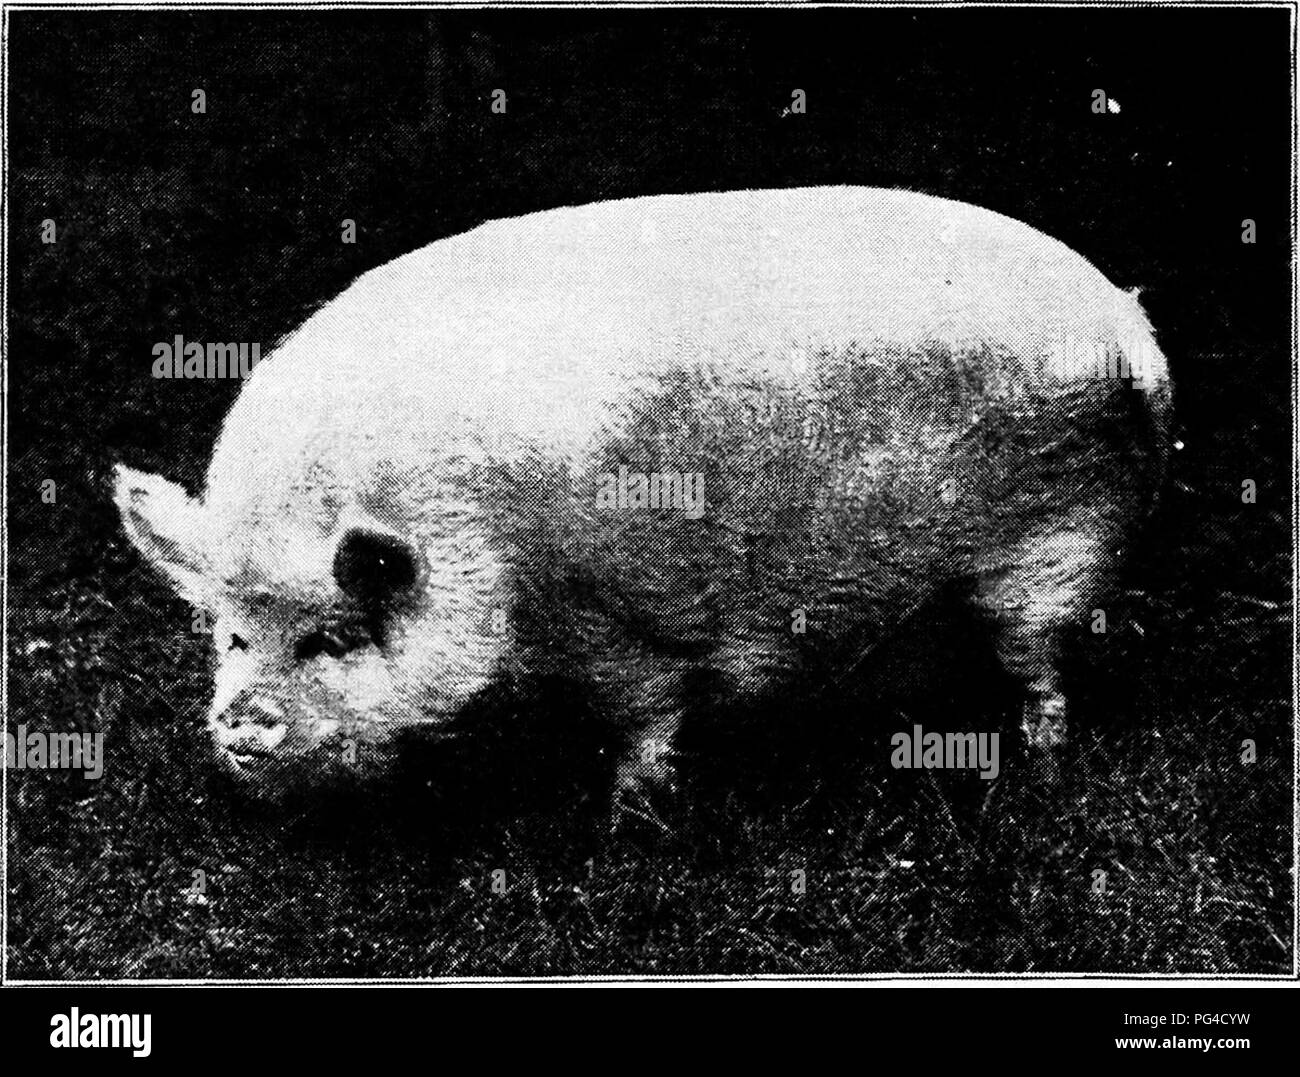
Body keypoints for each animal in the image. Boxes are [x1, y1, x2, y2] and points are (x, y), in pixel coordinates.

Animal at [109, 187, 1170, 806]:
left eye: (333, 637)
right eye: (233, 636)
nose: (240, 722)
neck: (490, 558)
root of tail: (1129, 331)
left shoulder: (616, 619)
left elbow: (647, 712)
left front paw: (629, 817)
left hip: (1054, 541)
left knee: (1039, 661)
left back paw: (1041, 769)